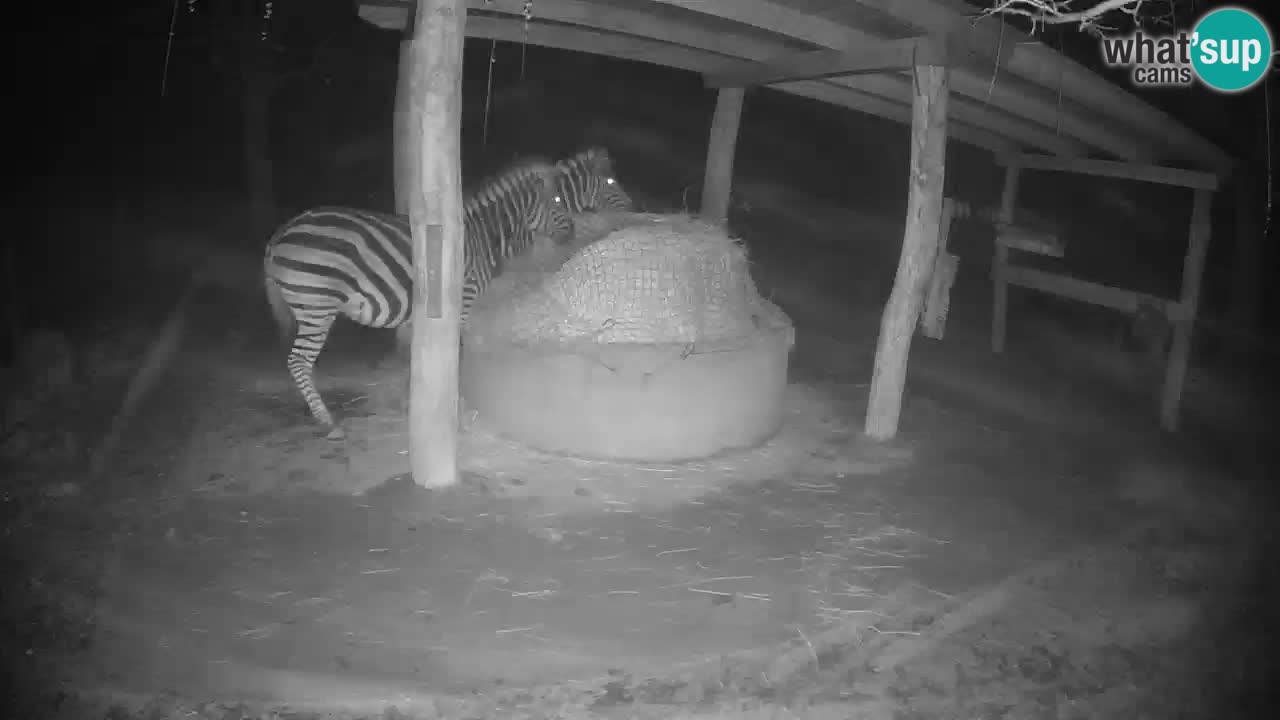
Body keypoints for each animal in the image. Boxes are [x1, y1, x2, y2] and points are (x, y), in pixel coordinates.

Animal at [263, 158, 573, 439]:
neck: (481, 237)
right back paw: (328, 423)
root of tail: (281, 231)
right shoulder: (462, 302)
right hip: (317, 305)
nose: (573, 232)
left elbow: (416, 358)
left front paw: (413, 402)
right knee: (298, 361)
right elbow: (456, 354)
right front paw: (456, 410)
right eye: (558, 199)